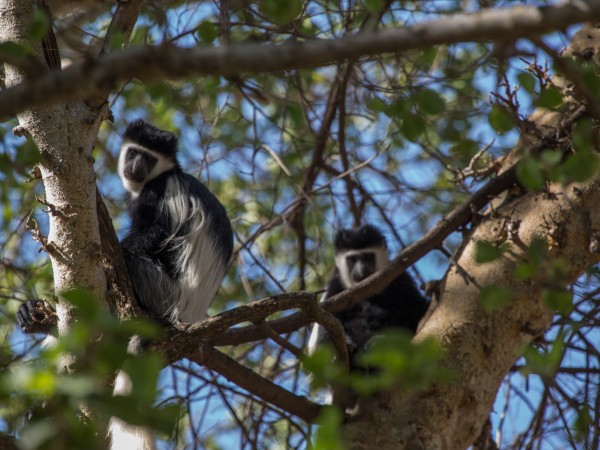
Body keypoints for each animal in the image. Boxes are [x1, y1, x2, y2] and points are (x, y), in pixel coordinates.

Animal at [308, 225, 428, 372]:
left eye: (368, 257)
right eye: (352, 259)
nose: (362, 270)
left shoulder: (399, 279)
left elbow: (416, 311)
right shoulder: (334, 289)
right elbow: (325, 332)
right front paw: (348, 347)